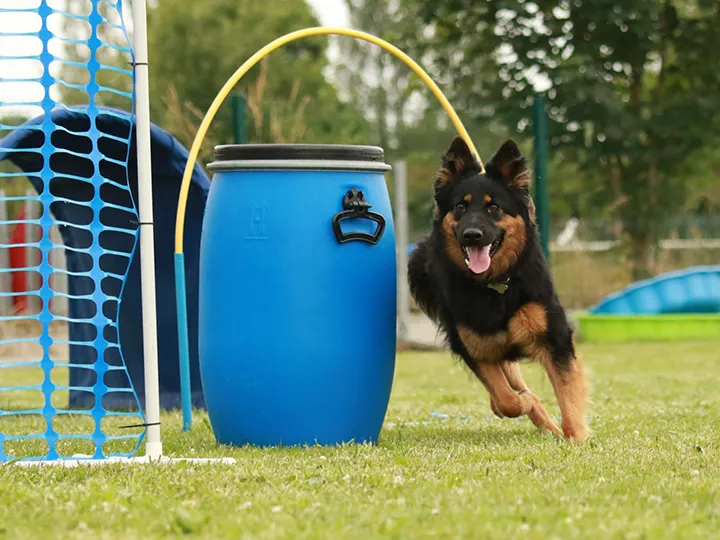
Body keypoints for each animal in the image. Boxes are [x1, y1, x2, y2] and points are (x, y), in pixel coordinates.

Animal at [408, 137, 588, 440]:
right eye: (460, 207)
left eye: (494, 208)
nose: (472, 235)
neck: (495, 285)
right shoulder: (474, 347)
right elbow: (507, 399)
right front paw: (520, 402)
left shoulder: (554, 338)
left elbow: (567, 394)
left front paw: (577, 437)